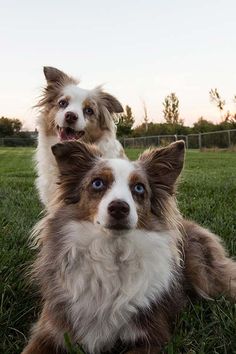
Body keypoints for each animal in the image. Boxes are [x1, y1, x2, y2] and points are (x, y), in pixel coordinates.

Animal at [22, 141, 236, 354]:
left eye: (139, 188)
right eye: (97, 183)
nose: (119, 208)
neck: (112, 251)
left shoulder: (152, 336)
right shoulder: (51, 329)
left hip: (206, 276)